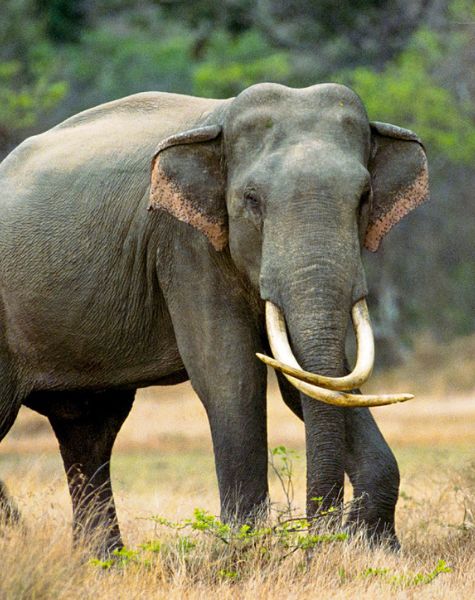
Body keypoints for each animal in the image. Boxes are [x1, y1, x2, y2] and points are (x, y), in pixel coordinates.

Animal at [0, 81, 430, 552]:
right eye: (252, 200)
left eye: (364, 198)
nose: (321, 533)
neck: (219, 121)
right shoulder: (184, 244)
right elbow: (230, 373)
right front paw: (244, 552)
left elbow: (307, 380)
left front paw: (374, 547)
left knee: (89, 428)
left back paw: (102, 561)